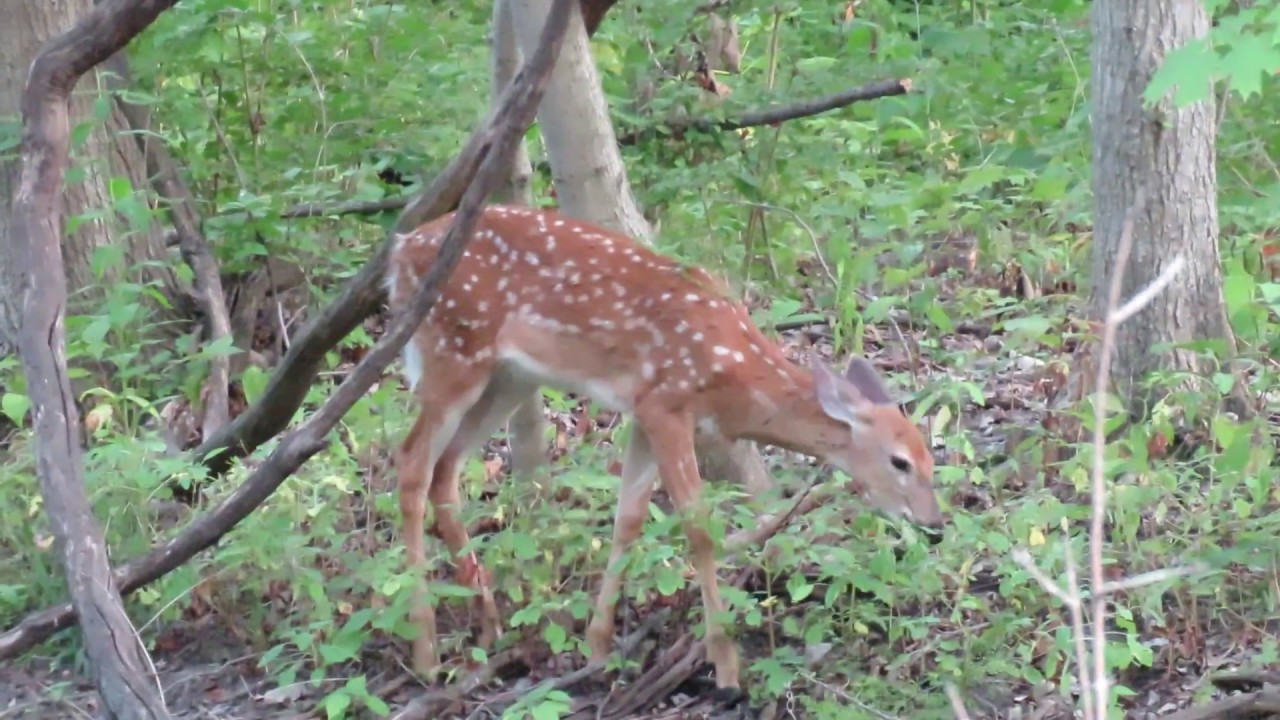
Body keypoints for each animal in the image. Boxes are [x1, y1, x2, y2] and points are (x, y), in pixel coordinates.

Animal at [385, 204, 943, 693]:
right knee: (411, 461)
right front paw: (725, 666)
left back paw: (488, 622)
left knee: (446, 467)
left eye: (931, 460)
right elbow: (698, 527)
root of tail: (401, 250)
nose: (934, 524)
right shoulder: (668, 405)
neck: (734, 379)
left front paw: (598, 646)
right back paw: (427, 653)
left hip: (509, 376)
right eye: (900, 462)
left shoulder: (642, 412)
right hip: (454, 350)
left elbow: (628, 519)